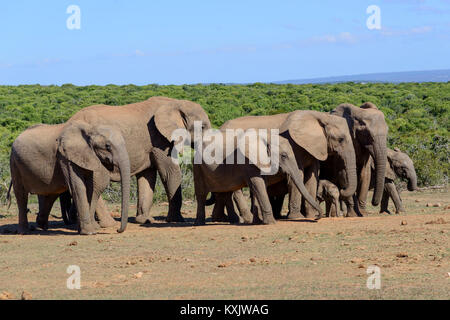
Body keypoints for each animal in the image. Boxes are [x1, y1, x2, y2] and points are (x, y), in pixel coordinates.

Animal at [67, 96, 212, 224]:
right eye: (202, 127)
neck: (175, 103)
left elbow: (147, 177)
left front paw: (144, 220)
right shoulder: (159, 139)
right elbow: (170, 173)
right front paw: (176, 220)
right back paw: (109, 224)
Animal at [220, 110, 356, 220]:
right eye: (341, 139)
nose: (342, 189)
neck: (319, 116)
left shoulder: (313, 148)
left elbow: (312, 178)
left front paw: (311, 216)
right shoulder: (293, 144)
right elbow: (298, 175)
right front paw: (297, 217)